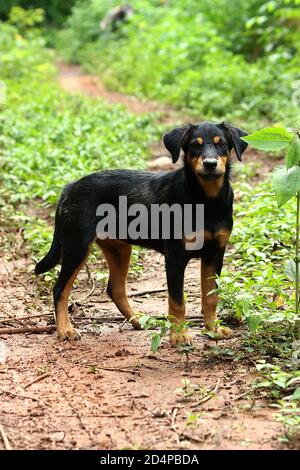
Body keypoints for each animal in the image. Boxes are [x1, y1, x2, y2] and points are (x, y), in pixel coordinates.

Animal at [35, 121, 247, 346]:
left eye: (221, 143)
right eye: (194, 146)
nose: (210, 164)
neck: (206, 200)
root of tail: (70, 186)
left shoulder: (215, 253)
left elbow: (211, 297)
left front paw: (213, 329)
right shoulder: (175, 257)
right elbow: (177, 301)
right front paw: (179, 335)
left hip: (118, 248)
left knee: (115, 288)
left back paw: (138, 320)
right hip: (77, 246)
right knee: (60, 289)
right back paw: (65, 330)